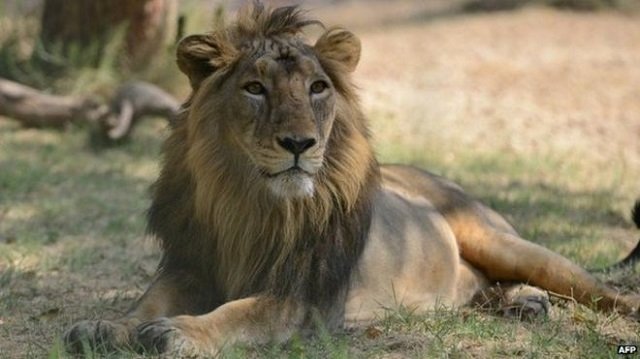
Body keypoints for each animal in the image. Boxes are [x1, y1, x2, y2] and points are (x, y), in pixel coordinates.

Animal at [62, 2, 636, 358]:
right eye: (254, 89)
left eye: (317, 88)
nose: (299, 144)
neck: (247, 202)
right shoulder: (188, 265)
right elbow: (145, 302)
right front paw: (106, 327)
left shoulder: (300, 300)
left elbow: (236, 314)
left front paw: (178, 331)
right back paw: (521, 303)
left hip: (504, 241)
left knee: (594, 287)